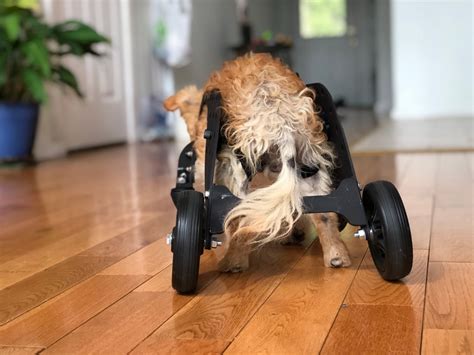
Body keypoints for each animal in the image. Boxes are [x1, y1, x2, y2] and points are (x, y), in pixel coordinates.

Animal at [165, 52, 350, 272]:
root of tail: (279, 117)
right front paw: (295, 233)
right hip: (308, 164)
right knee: (324, 212)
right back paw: (336, 255)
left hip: (236, 169)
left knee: (238, 217)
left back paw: (233, 261)